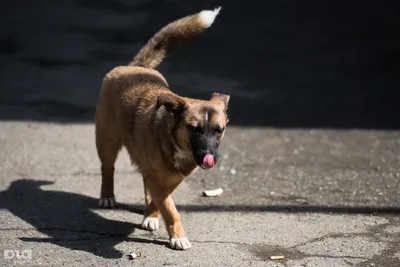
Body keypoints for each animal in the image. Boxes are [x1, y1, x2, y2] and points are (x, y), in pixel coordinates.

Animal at [94, 6, 230, 251]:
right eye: (194, 128)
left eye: (219, 130)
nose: (209, 156)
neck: (177, 144)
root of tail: (133, 68)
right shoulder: (159, 178)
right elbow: (170, 209)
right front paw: (178, 236)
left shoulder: (171, 178)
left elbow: (162, 200)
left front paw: (152, 215)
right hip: (106, 140)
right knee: (107, 168)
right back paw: (107, 196)